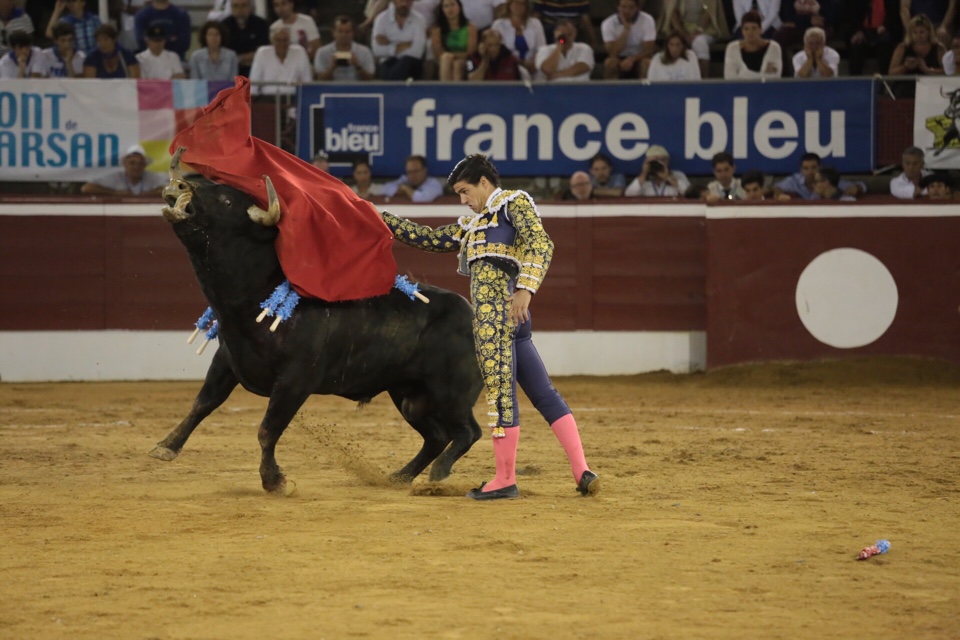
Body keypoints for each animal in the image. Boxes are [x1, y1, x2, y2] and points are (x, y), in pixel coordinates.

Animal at [155, 155, 484, 496]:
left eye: (227, 200)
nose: (179, 186)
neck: (257, 295)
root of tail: (469, 310)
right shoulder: (227, 361)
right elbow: (203, 403)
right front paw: (167, 446)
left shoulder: (295, 381)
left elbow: (267, 429)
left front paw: (274, 480)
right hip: (409, 395)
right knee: (436, 436)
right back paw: (400, 476)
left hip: (452, 392)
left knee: (468, 431)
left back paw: (438, 472)